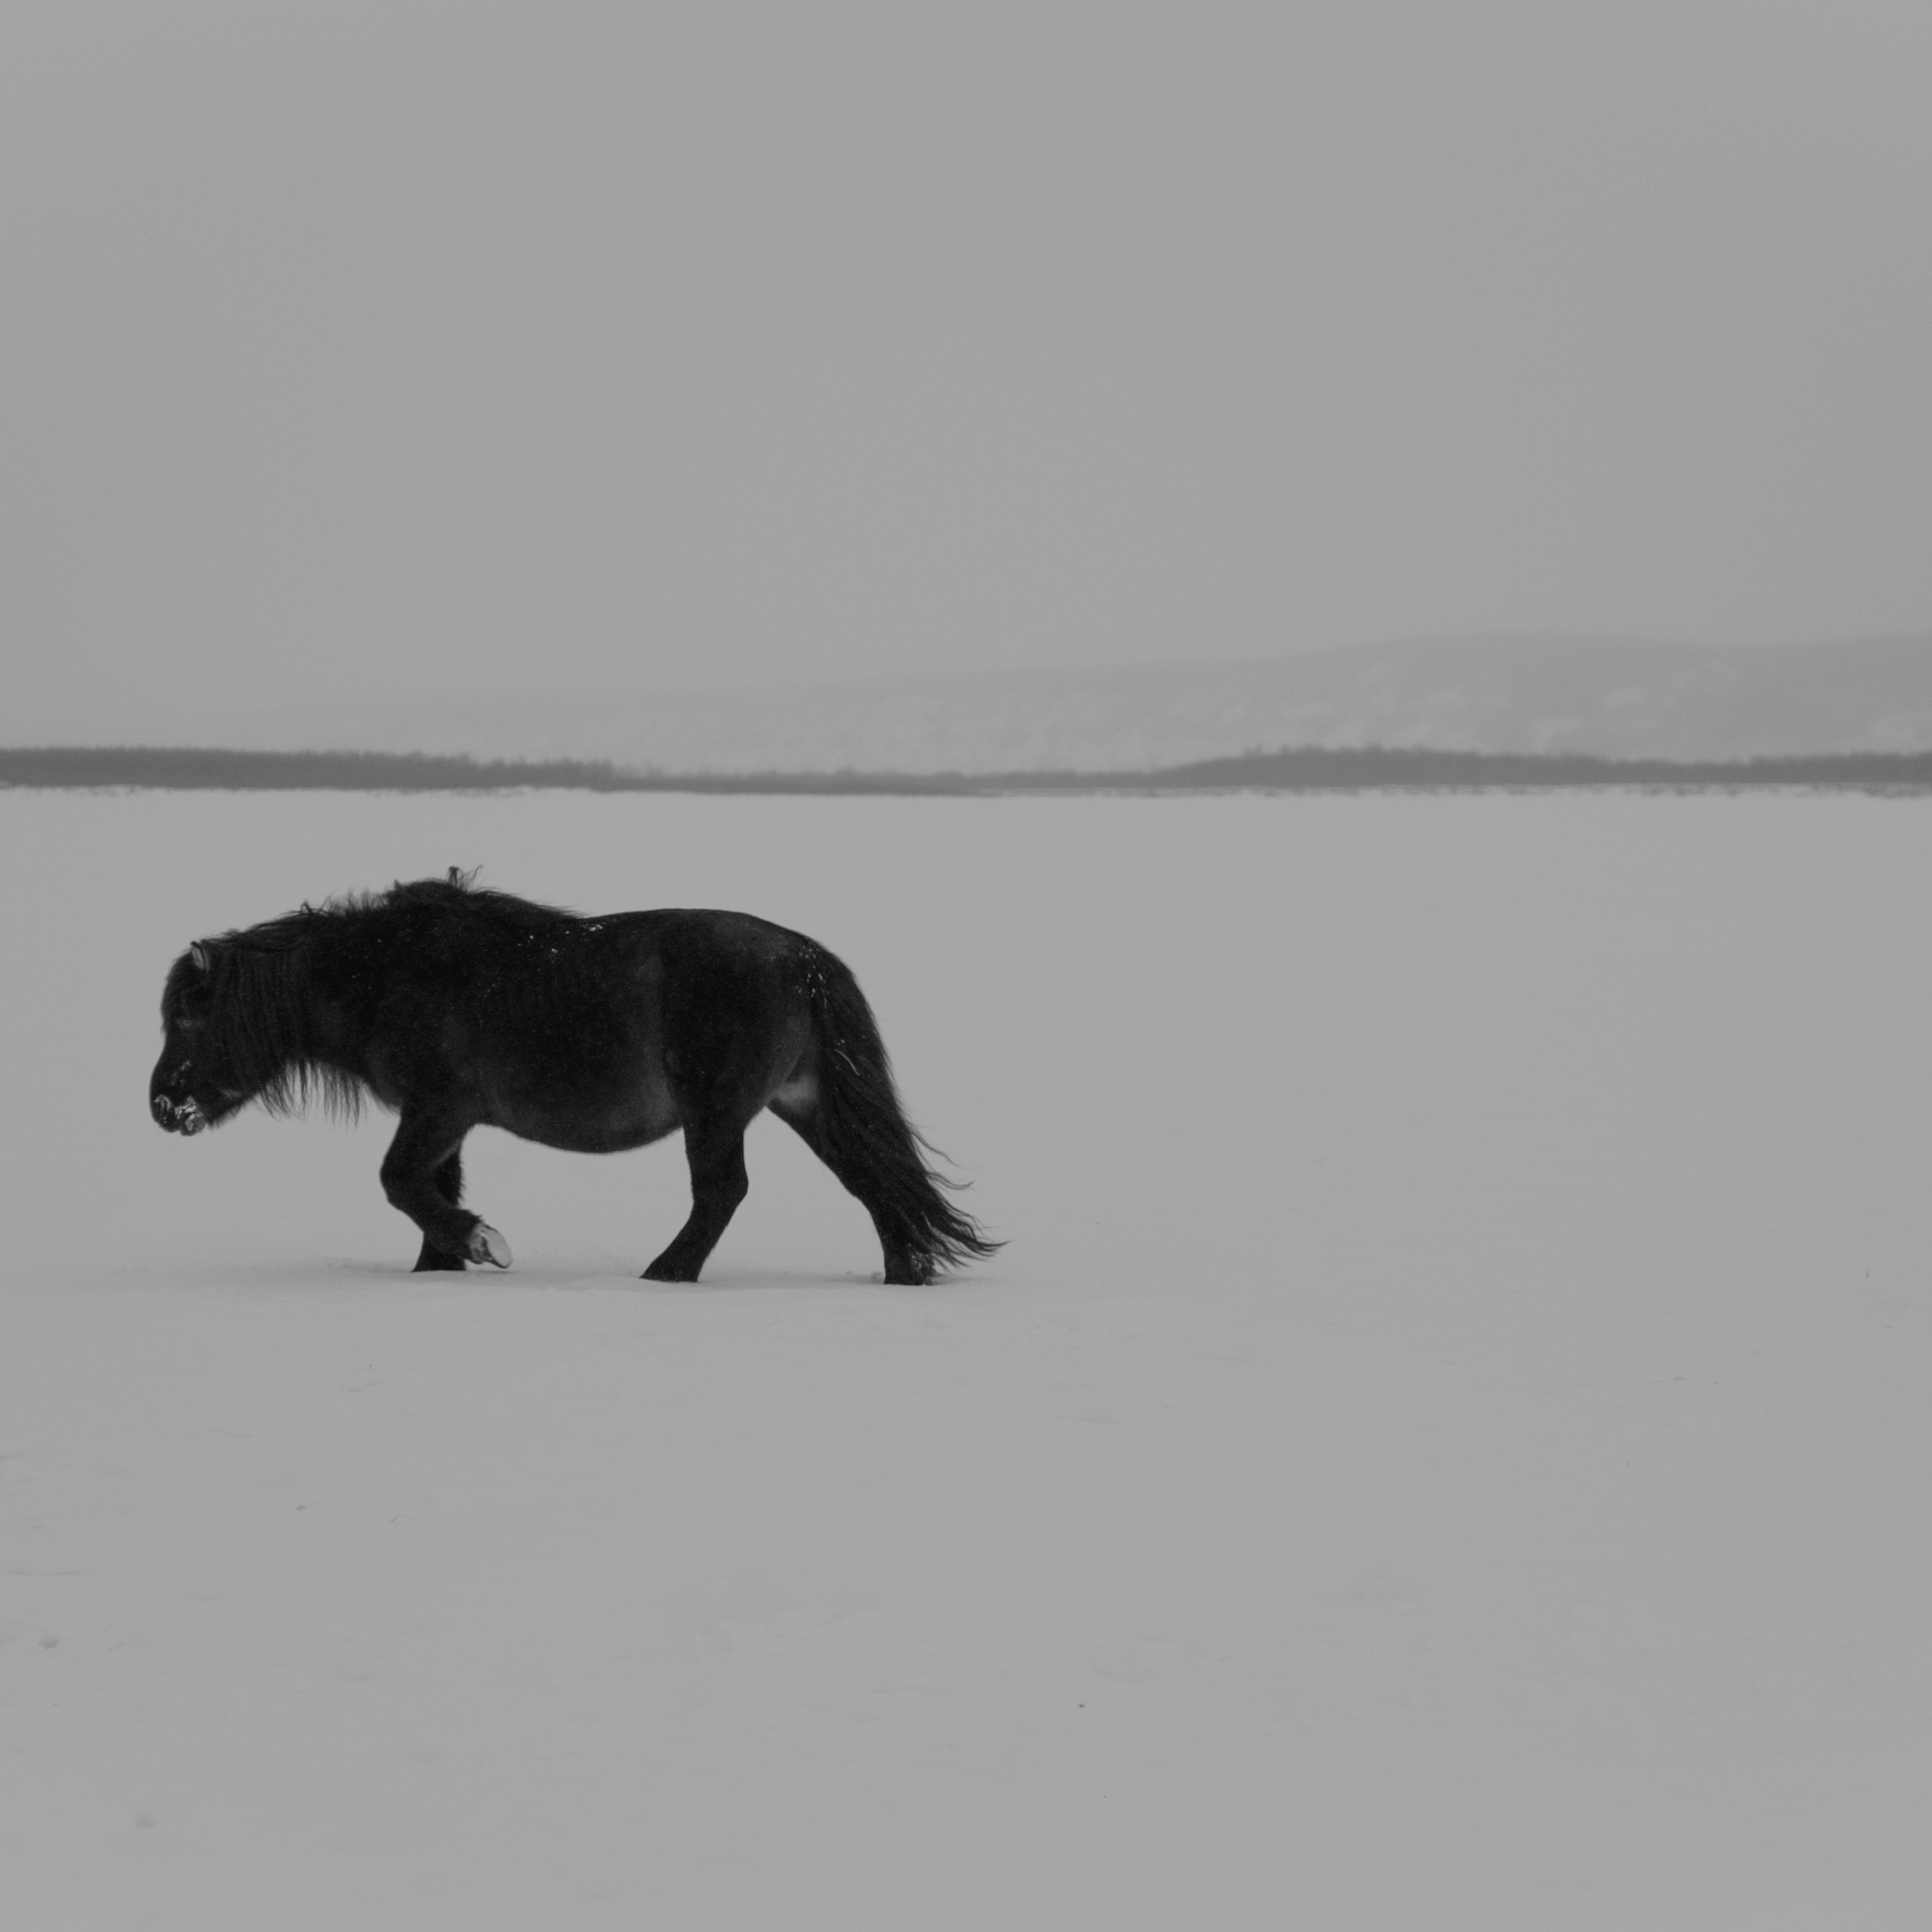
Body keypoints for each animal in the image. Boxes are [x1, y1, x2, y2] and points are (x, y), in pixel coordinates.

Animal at [149, 870, 999, 1284]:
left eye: (187, 1020)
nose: (162, 1106)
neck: (386, 973)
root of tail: (803, 959)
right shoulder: (446, 1123)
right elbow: (429, 1192)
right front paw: (441, 1266)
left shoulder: (439, 1107)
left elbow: (399, 1183)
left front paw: (483, 1244)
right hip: (807, 1102)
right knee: (875, 1181)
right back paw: (905, 1274)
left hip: (718, 1110)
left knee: (723, 1193)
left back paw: (665, 1274)